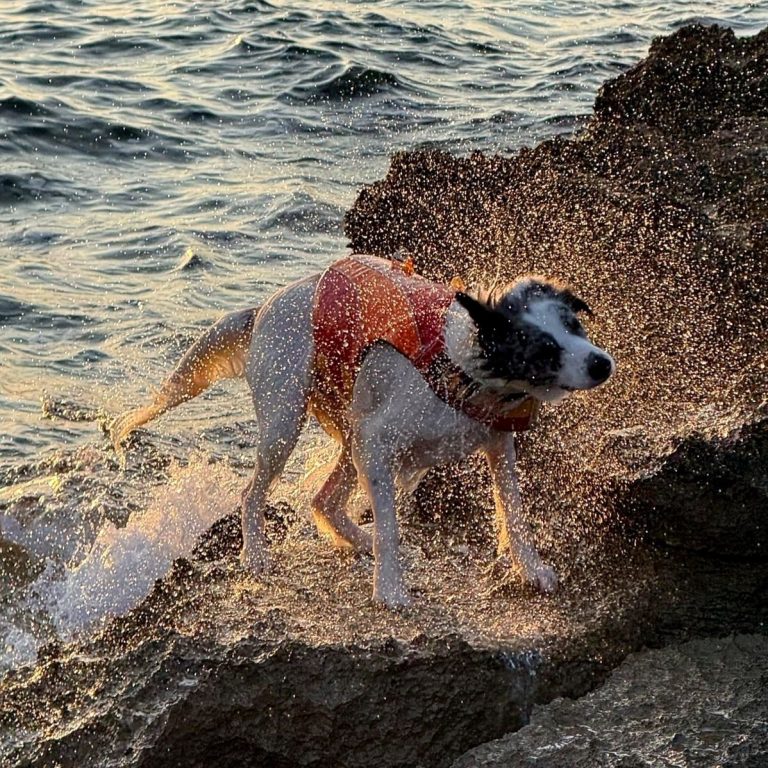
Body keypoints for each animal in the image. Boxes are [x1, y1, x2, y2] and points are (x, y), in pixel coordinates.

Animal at [111, 252, 616, 608]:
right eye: (543, 349)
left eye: (574, 325)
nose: (602, 363)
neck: (461, 365)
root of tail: (263, 308)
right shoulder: (378, 441)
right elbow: (390, 524)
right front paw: (389, 591)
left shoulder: (496, 442)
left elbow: (514, 513)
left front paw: (531, 569)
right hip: (286, 419)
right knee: (253, 493)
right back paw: (255, 555)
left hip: (347, 423)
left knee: (323, 501)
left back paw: (358, 542)